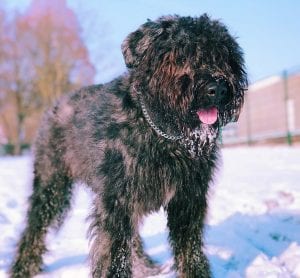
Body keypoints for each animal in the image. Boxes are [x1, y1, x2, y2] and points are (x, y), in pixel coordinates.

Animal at [10, 14, 247, 276]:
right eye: (181, 54)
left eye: (224, 56)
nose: (218, 89)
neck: (163, 137)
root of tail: (56, 105)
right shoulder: (117, 202)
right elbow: (115, 256)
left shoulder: (187, 201)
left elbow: (190, 253)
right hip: (51, 182)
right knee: (35, 225)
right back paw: (22, 268)